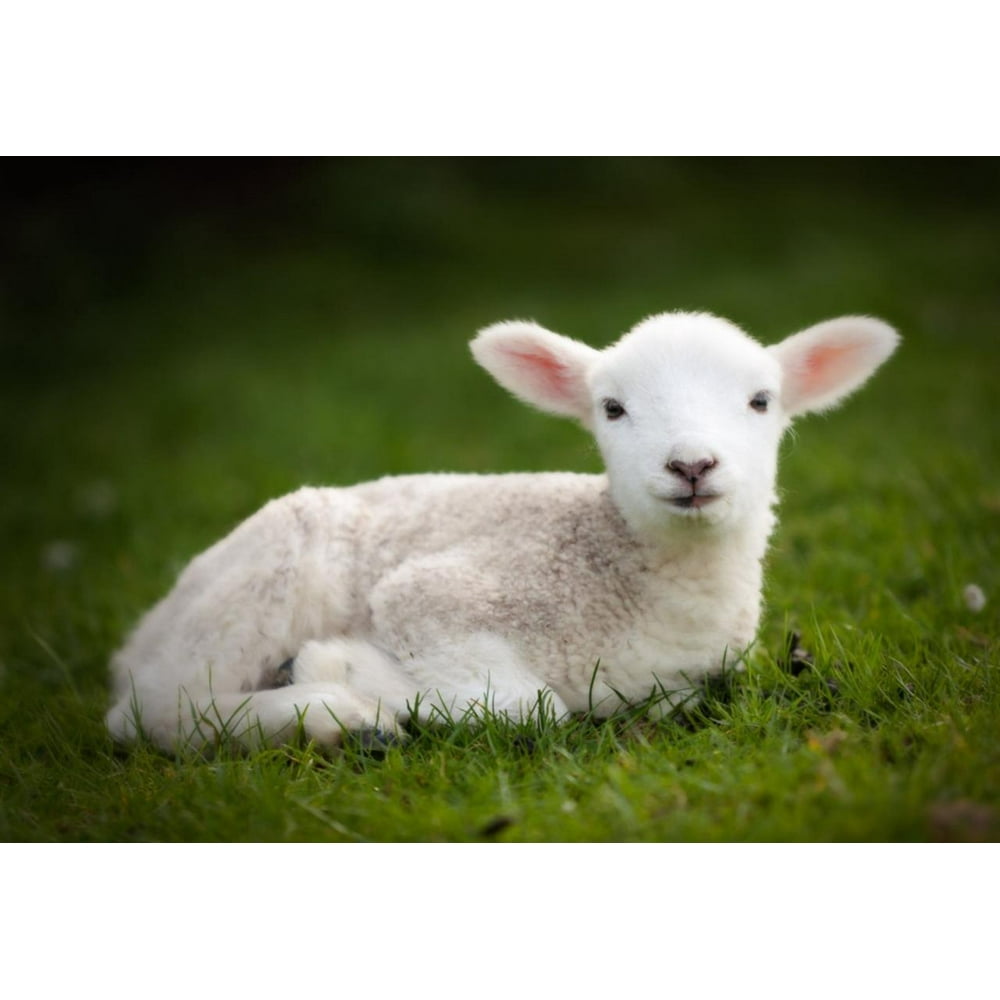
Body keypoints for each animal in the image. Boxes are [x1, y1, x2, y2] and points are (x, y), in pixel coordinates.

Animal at [106, 310, 899, 751]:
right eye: (611, 409)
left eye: (761, 401)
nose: (692, 465)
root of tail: (139, 636)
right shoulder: (434, 593)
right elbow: (528, 706)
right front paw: (343, 671)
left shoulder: (686, 683)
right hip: (258, 582)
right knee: (151, 713)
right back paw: (334, 718)